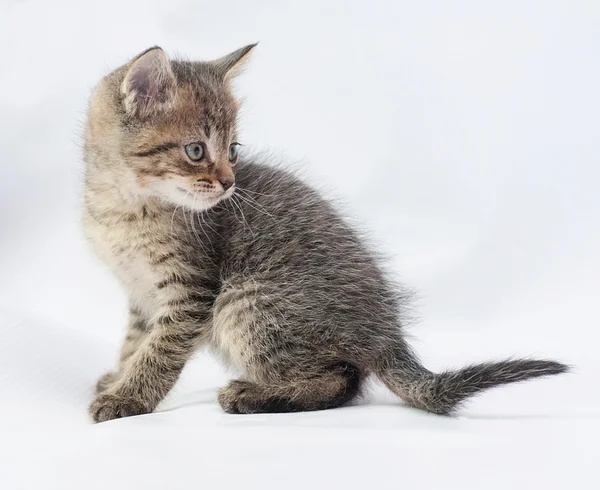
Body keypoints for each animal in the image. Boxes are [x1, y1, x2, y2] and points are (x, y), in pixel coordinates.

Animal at [83, 44, 568, 424]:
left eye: (234, 151)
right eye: (196, 150)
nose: (228, 184)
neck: (122, 207)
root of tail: (385, 332)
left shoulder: (192, 294)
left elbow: (159, 352)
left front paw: (129, 398)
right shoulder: (142, 295)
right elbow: (135, 343)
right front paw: (117, 379)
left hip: (245, 303)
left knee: (341, 378)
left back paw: (252, 395)